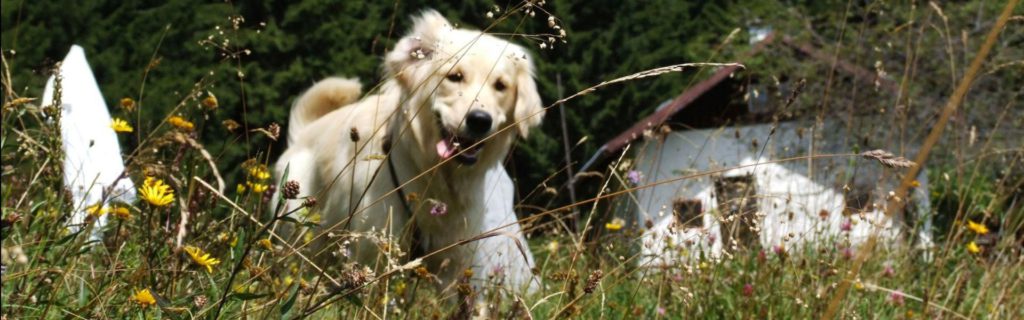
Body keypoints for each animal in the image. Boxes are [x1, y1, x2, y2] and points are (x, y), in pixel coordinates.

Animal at [272, 8, 544, 293]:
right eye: (455, 76)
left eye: (501, 85)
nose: (480, 120)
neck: (434, 173)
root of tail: (304, 133)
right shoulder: (374, 249)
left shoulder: (453, 261)